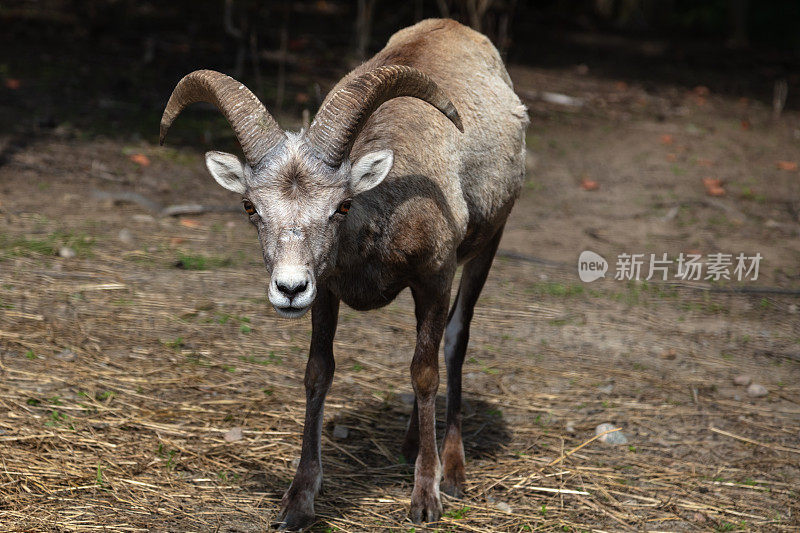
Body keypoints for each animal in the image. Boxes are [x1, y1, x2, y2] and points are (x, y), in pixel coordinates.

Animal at [159, 17, 528, 528]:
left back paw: (451, 470)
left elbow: (425, 372)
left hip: (487, 245)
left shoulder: (435, 278)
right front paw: (297, 504)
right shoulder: (329, 293)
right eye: (250, 207)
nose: (290, 289)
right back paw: (412, 444)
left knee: (454, 340)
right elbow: (319, 372)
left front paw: (426, 498)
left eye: (342, 206)